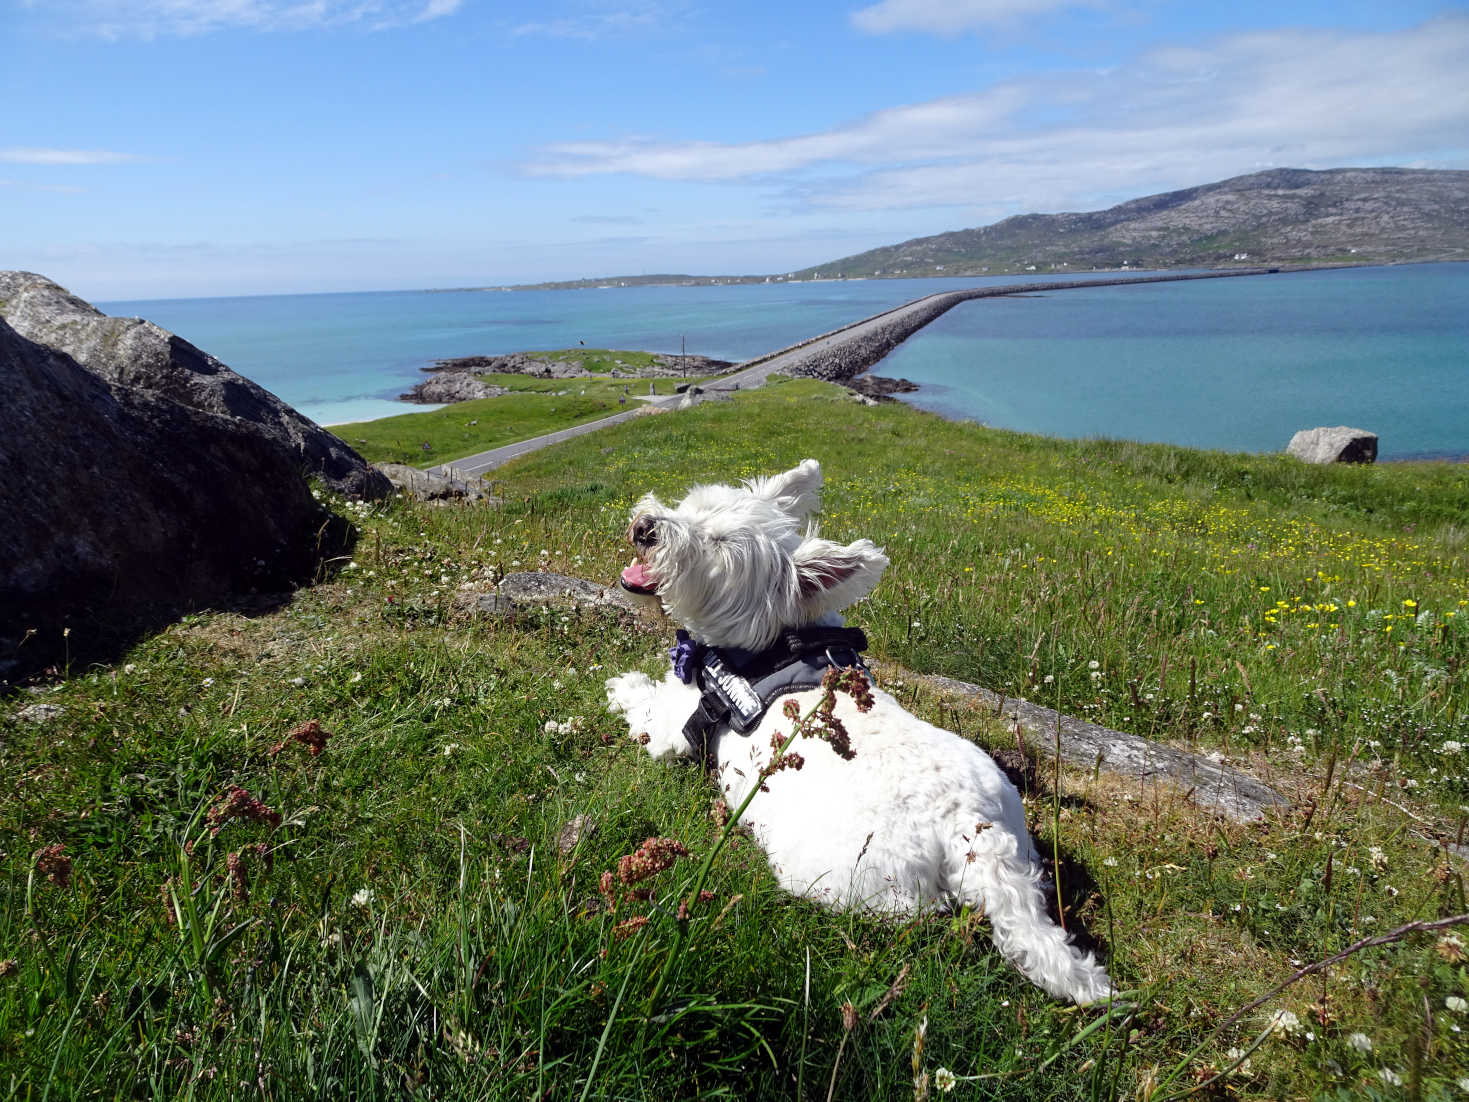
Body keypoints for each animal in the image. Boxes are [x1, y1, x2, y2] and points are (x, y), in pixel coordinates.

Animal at [602, 461, 1104, 1005]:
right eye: (692, 505)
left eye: (716, 544)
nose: (645, 527)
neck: (769, 643)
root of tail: (971, 826)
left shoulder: (676, 728)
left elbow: (647, 708)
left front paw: (623, 686)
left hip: (840, 877)